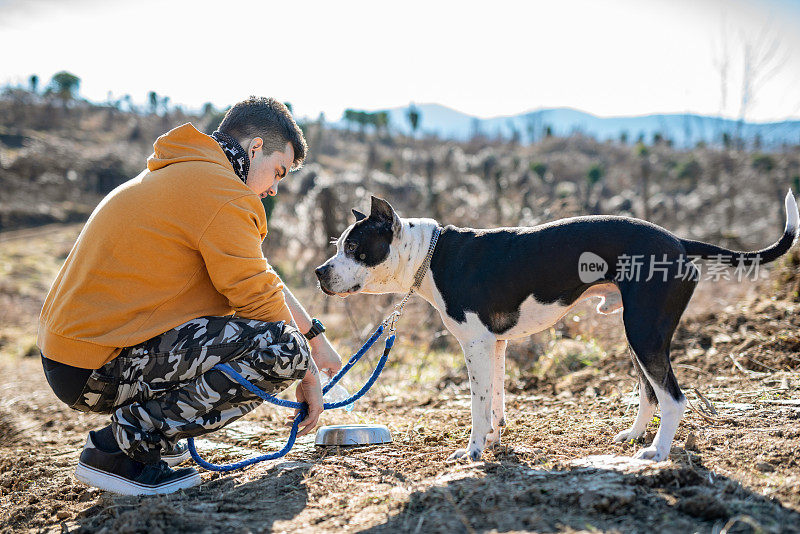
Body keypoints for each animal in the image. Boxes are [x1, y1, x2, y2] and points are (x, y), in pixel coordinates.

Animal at [316, 195, 796, 462]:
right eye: (338, 246)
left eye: (354, 246)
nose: (320, 272)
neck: (430, 255)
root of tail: (679, 242)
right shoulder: (495, 346)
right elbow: (497, 403)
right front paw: (494, 443)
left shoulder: (475, 345)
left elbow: (478, 406)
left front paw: (472, 453)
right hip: (638, 337)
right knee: (650, 392)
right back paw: (635, 435)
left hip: (644, 334)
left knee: (674, 398)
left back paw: (657, 453)